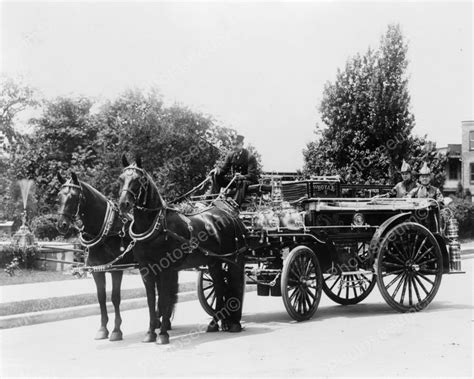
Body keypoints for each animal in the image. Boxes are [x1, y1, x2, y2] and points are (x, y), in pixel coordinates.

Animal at [57, 174, 137, 342]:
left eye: (74, 197)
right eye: (58, 196)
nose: (61, 225)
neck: (109, 229)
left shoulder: (116, 269)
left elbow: (115, 297)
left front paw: (116, 330)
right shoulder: (96, 270)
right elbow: (101, 297)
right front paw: (102, 329)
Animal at [117, 156, 248, 346]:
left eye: (139, 180)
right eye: (120, 179)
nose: (123, 204)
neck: (156, 227)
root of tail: (229, 213)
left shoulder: (166, 269)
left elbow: (164, 300)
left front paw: (163, 334)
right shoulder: (146, 270)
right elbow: (151, 300)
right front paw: (150, 333)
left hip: (234, 260)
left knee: (234, 283)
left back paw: (233, 323)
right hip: (214, 262)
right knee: (219, 286)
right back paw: (215, 323)